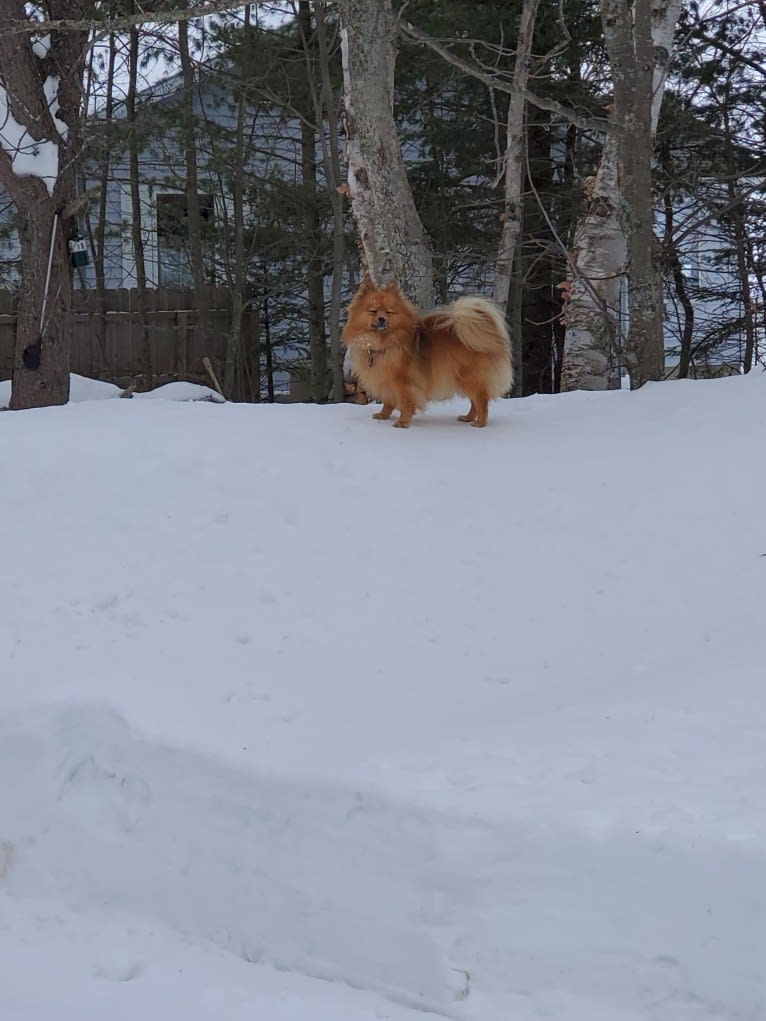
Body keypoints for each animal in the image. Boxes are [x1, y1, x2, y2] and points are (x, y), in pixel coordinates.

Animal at [343, 275, 512, 426]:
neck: (384, 343)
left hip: (471, 377)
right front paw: (383, 415)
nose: (382, 319)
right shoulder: (387, 381)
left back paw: (480, 423)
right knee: (474, 402)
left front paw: (403, 422)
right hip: (464, 378)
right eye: (373, 311)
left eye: (389, 312)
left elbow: (406, 402)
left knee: (481, 401)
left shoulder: (404, 382)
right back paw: (468, 418)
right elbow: (388, 401)